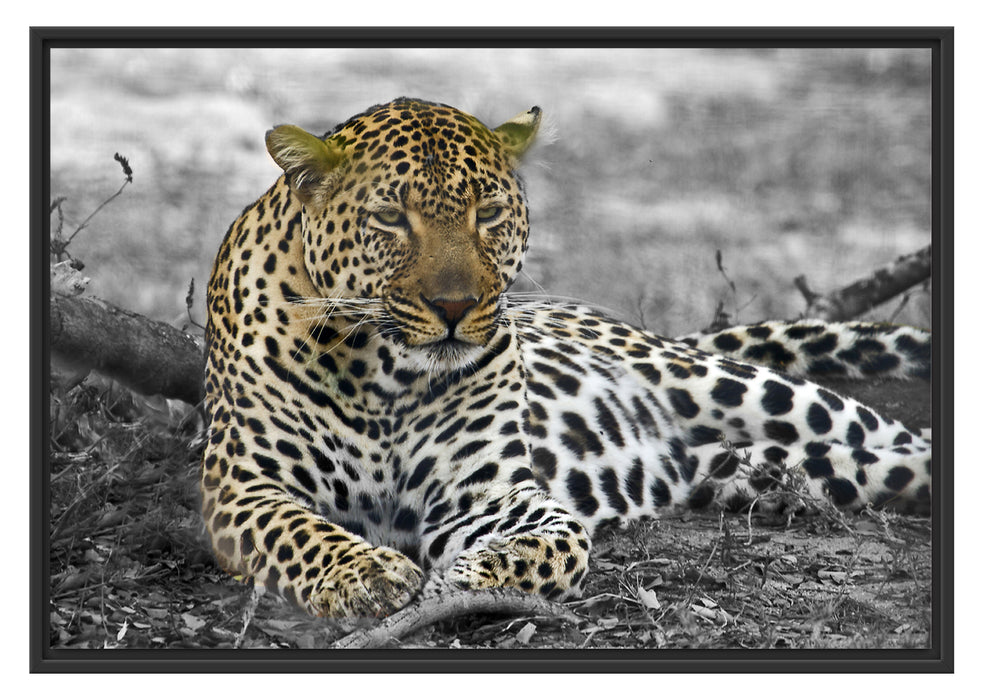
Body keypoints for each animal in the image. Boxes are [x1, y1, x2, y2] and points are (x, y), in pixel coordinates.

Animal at [201, 97, 931, 619]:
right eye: (389, 219)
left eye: (489, 213)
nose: (455, 306)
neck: (384, 370)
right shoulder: (242, 486)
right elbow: (300, 532)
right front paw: (368, 574)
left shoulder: (490, 494)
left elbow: (554, 542)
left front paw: (460, 582)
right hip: (766, 468)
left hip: (740, 387)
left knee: (892, 432)